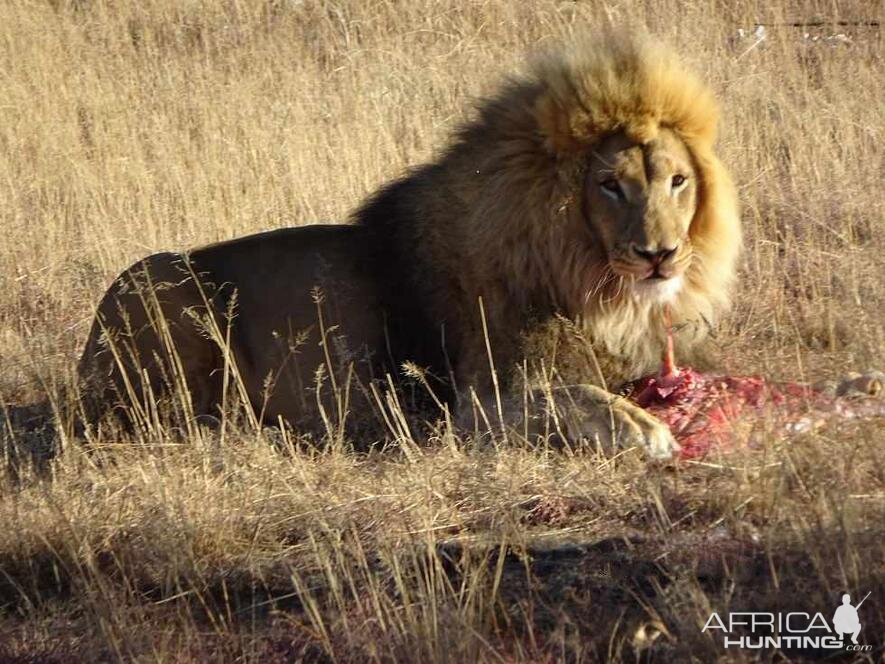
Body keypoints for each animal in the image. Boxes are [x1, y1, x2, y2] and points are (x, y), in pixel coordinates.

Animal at [29, 31, 744, 456]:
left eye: (678, 182)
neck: (582, 271)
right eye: (609, 186)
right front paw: (644, 430)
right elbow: (571, 397)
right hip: (166, 291)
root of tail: (89, 343)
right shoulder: (477, 403)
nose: (661, 254)